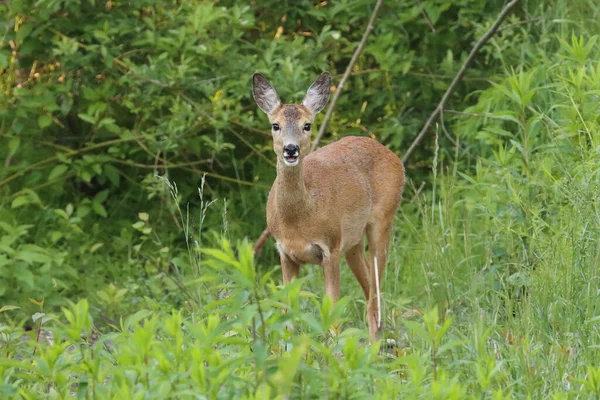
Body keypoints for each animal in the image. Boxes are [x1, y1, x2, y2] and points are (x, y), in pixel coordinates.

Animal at [251, 71, 406, 340]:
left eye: (307, 125)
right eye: (275, 125)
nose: (290, 149)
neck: (299, 218)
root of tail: (393, 155)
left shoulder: (330, 248)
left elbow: (332, 314)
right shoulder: (285, 252)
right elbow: (288, 315)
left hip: (383, 219)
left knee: (376, 291)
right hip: (353, 242)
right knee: (368, 288)